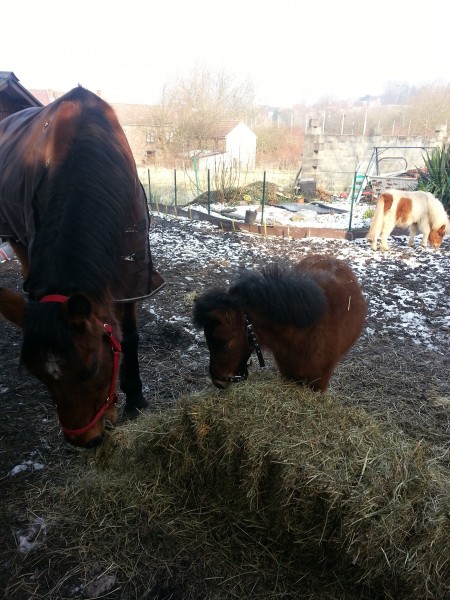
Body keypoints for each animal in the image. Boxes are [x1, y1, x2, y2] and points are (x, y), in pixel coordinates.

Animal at [0, 86, 165, 448]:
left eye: (90, 368)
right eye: (37, 374)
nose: (85, 441)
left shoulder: (132, 276)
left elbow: (130, 337)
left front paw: (136, 399)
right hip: (17, 236)